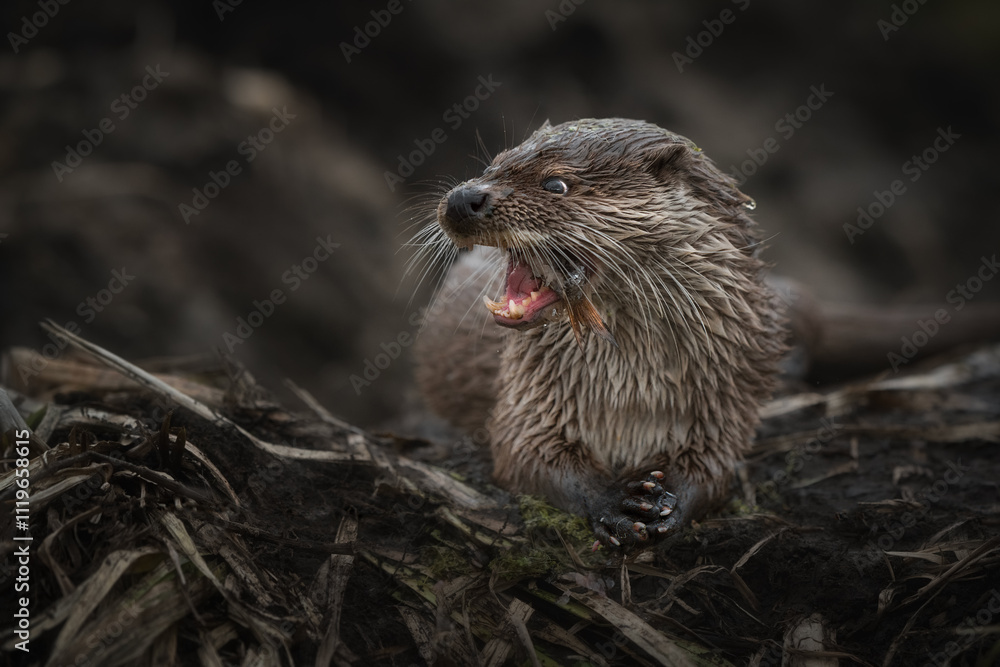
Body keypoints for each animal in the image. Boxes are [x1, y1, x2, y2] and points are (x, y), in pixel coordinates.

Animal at [413, 118, 786, 547]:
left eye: (555, 184)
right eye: (493, 165)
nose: (463, 198)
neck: (632, 386)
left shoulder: (728, 396)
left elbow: (713, 467)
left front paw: (671, 502)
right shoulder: (531, 397)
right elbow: (528, 455)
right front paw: (614, 503)